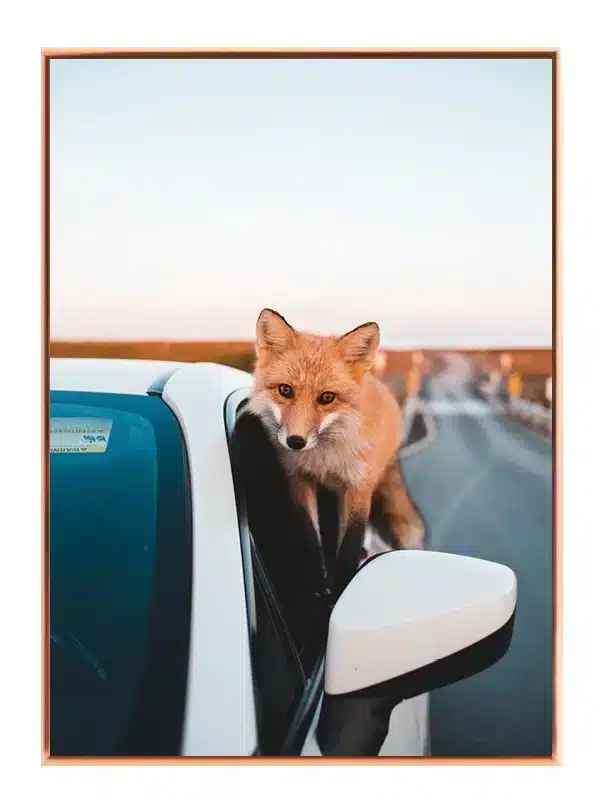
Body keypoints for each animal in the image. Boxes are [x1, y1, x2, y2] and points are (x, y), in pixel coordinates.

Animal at [248, 308, 425, 595]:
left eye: (327, 397)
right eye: (285, 390)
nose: (295, 441)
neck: (325, 460)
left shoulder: (358, 487)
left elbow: (350, 545)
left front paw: (342, 588)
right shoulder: (299, 480)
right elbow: (310, 538)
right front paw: (317, 585)